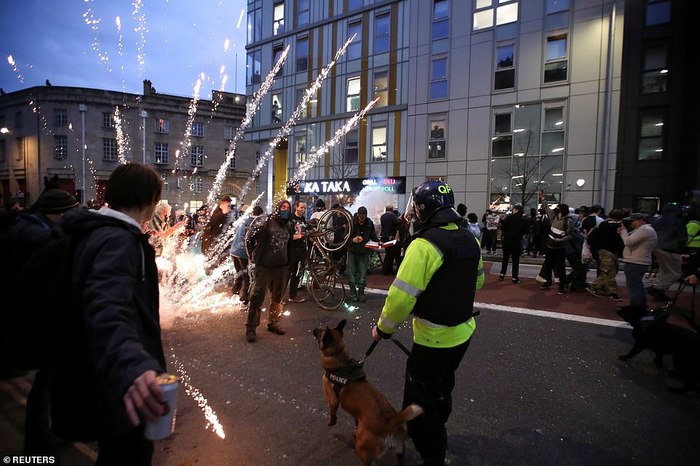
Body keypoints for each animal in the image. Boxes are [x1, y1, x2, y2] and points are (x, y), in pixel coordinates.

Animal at [312, 318, 422, 464]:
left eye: (320, 332)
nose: (313, 329)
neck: (338, 355)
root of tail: (389, 423)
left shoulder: (330, 393)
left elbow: (332, 410)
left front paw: (332, 422)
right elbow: (355, 421)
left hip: (362, 448)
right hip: (399, 451)